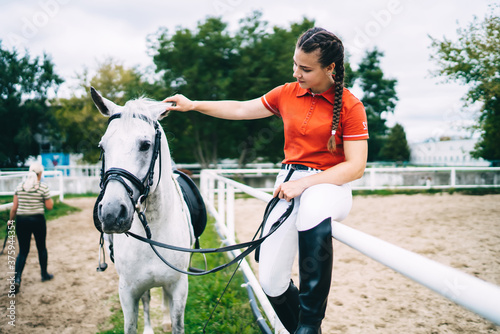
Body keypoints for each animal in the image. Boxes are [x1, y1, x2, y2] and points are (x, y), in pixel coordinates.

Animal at [91, 88, 192, 334]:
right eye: (102, 147)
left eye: (145, 145)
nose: (111, 214)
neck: (154, 226)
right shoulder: (128, 292)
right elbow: (133, 321)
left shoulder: (179, 287)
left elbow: (176, 322)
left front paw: (168, 322)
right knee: (147, 298)